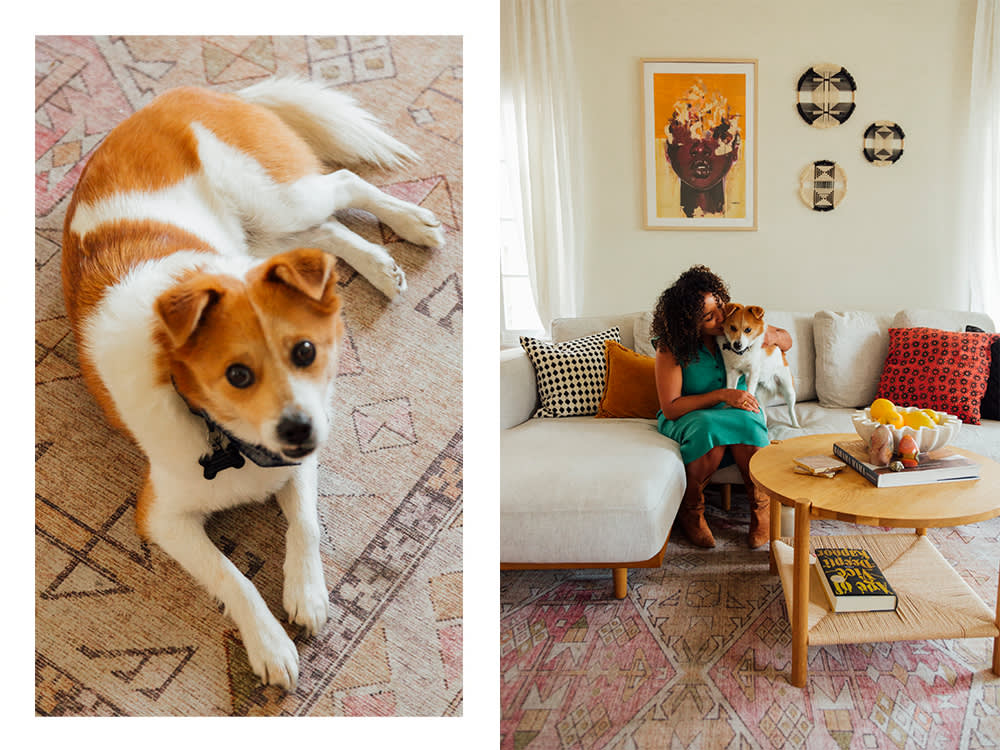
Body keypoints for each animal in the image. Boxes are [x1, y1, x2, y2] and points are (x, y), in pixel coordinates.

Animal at [57, 79, 442, 692]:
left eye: (305, 352)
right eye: (237, 375)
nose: (299, 431)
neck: (227, 439)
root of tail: (191, 94)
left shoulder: (301, 458)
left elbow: (305, 525)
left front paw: (307, 595)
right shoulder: (162, 517)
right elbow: (231, 575)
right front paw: (270, 644)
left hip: (275, 202)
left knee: (340, 187)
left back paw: (408, 227)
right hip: (267, 233)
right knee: (322, 234)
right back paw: (382, 263)